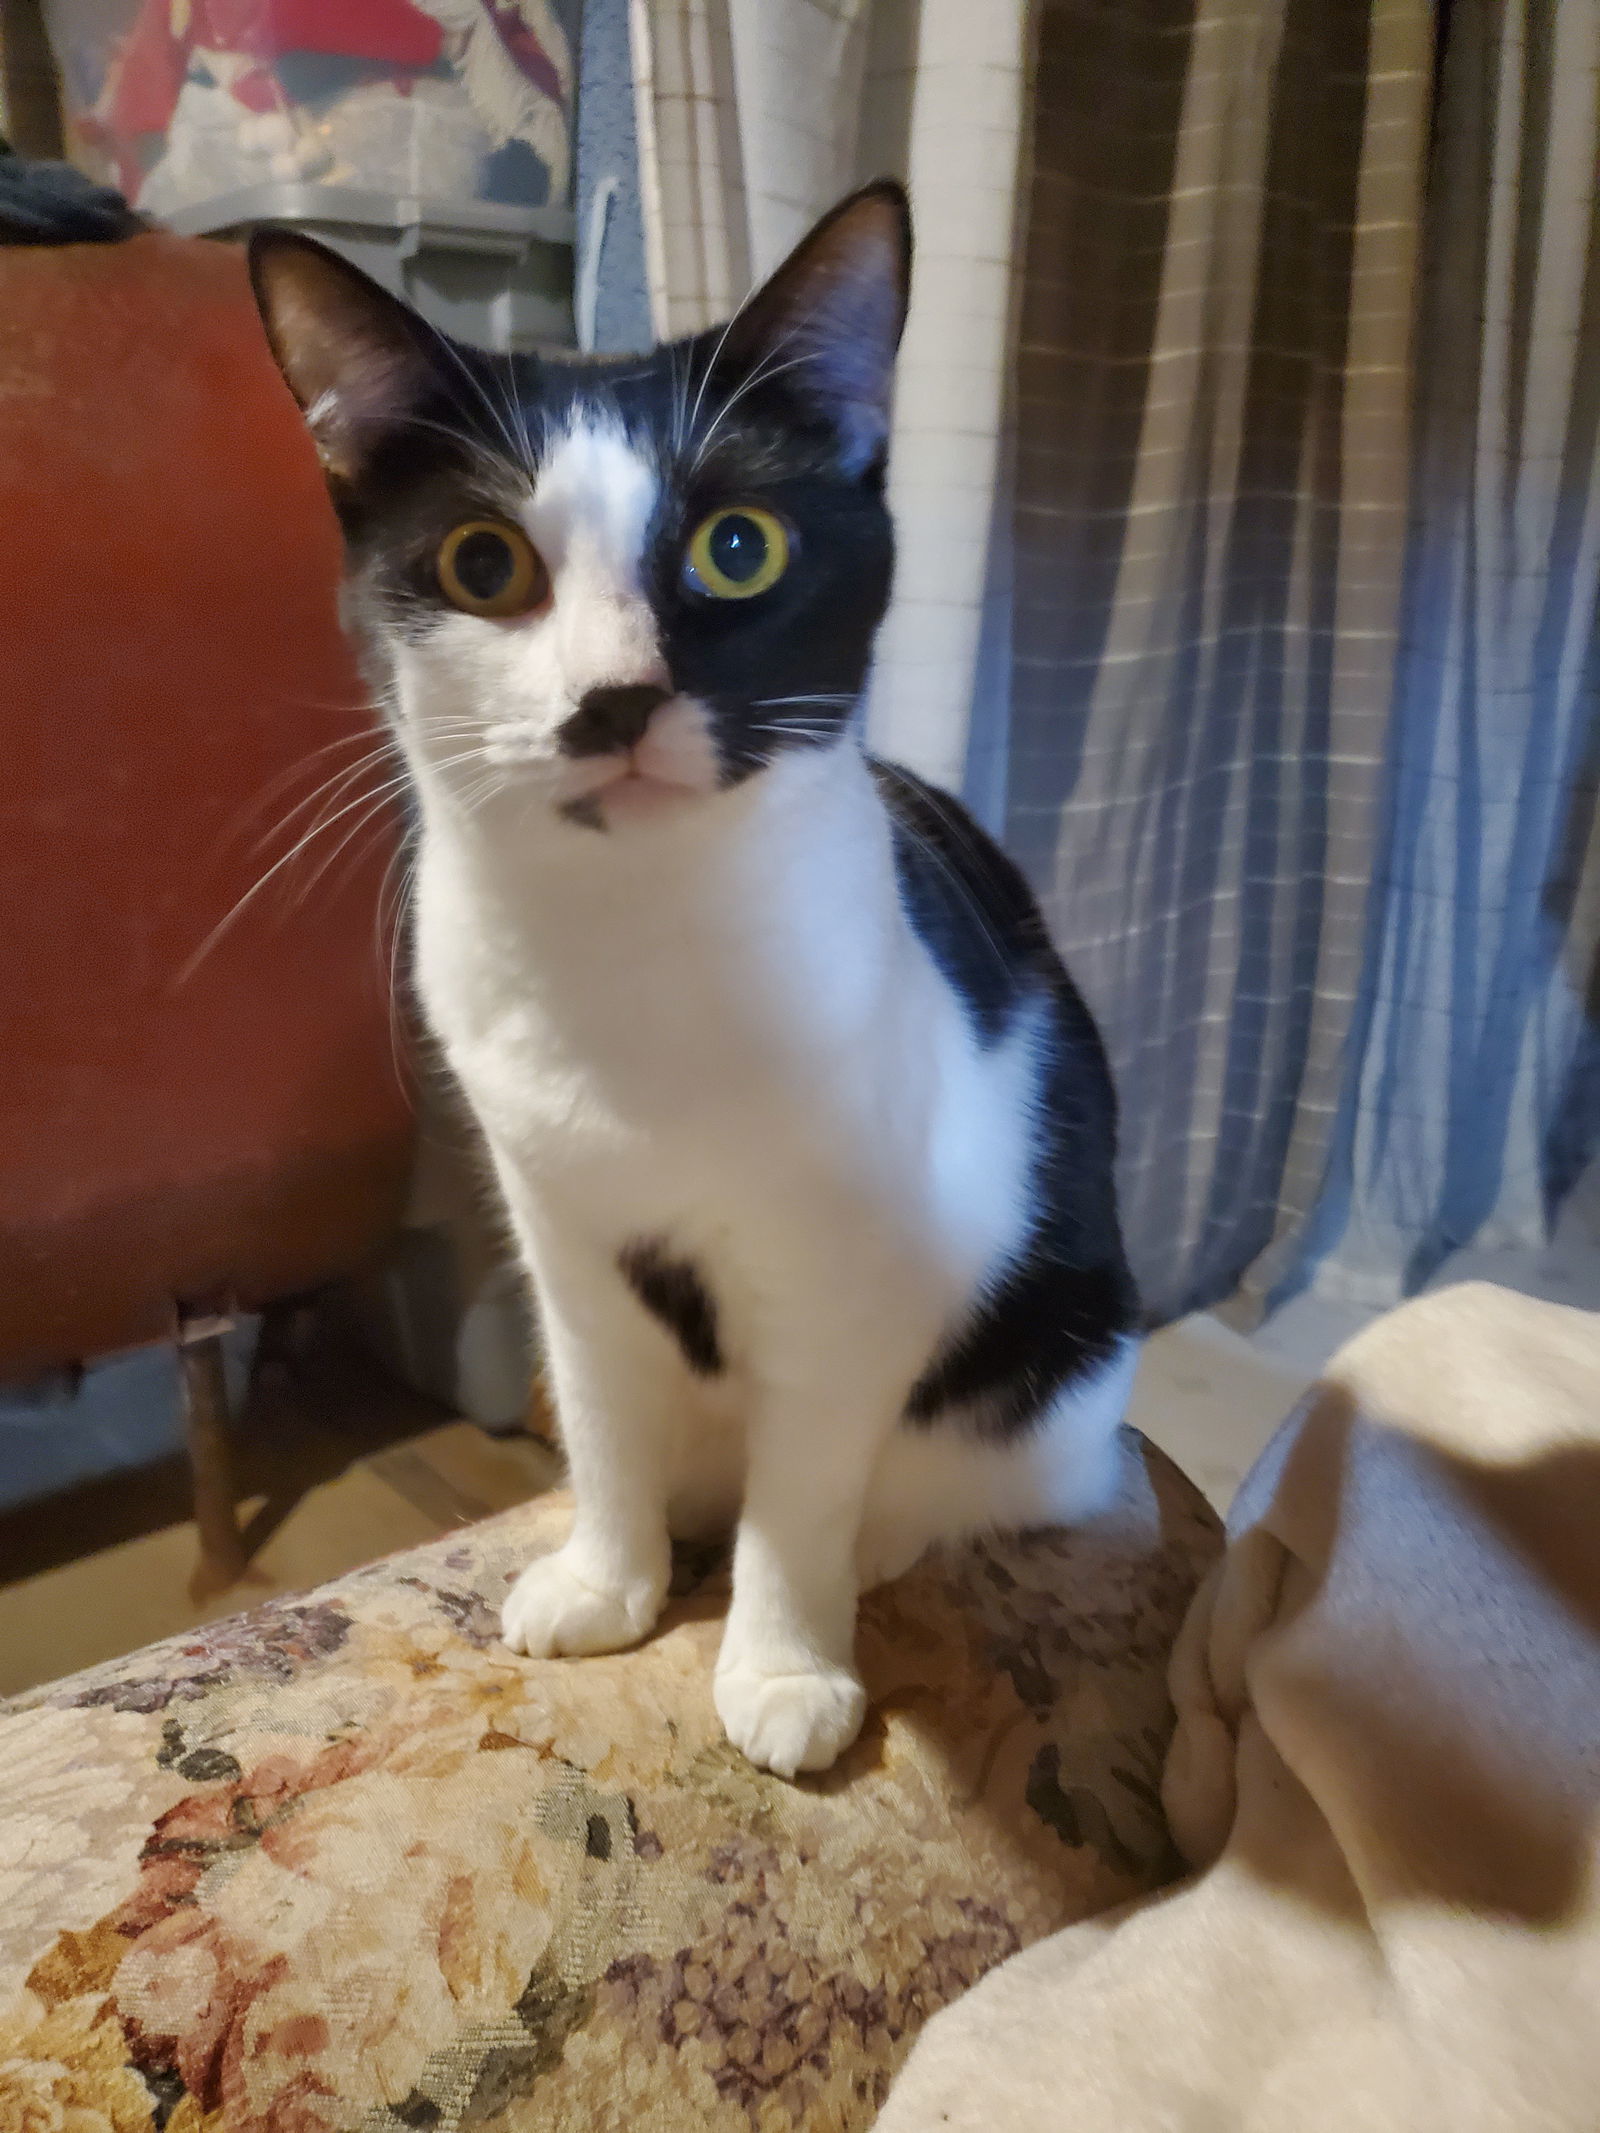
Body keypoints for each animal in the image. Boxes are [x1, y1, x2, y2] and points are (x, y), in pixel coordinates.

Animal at [253, 187, 1143, 1783]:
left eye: (739, 546)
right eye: (484, 564)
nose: (615, 697)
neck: (631, 951)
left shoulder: (850, 1273)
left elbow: (805, 1488)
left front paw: (784, 1665)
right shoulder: (553, 1217)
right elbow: (605, 1411)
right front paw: (608, 1579)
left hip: (1061, 1361)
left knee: (961, 1478)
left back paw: (869, 1549)